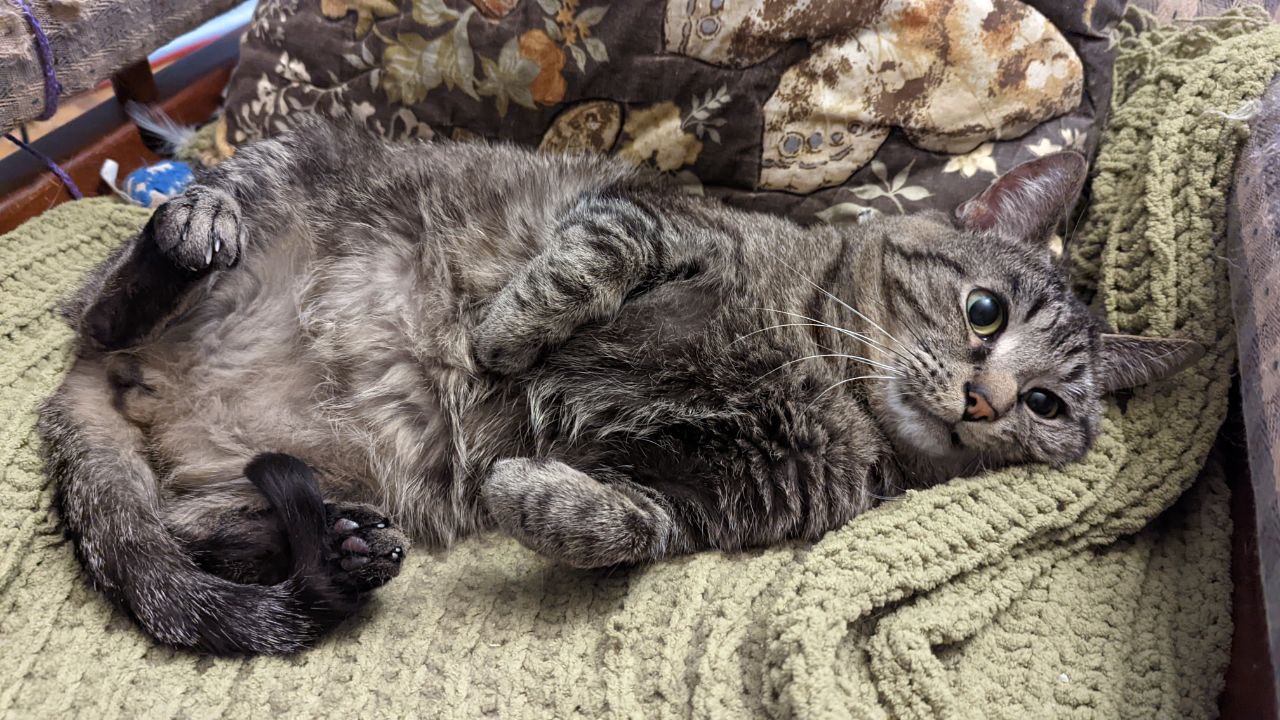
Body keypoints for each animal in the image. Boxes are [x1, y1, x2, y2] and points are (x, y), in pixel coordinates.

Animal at [37, 121, 1198, 650]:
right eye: (984, 313)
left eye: (1048, 406)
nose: (984, 403)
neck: (825, 382)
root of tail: (96, 384)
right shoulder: (650, 215)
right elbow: (587, 261)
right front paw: (502, 337)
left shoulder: (710, 501)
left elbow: (620, 528)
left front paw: (527, 491)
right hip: (276, 181)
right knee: (103, 296)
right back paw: (183, 232)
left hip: (268, 481)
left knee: (197, 532)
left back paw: (344, 544)